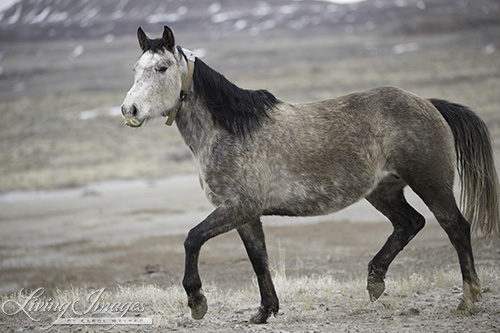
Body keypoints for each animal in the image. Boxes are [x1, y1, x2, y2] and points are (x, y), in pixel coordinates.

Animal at [122, 27, 500, 322]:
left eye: (161, 67)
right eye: (135, 68)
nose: (129, 110)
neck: (231, 130)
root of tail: (429, 104)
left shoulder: (238, 208)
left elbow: (192, 239)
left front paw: (197, 302)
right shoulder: (245, 215)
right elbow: (258, 259)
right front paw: (265, 311)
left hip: (431, 183)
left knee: (455, 228)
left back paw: (467, 300)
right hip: (383, 190)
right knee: (410, 223)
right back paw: (375, 281)